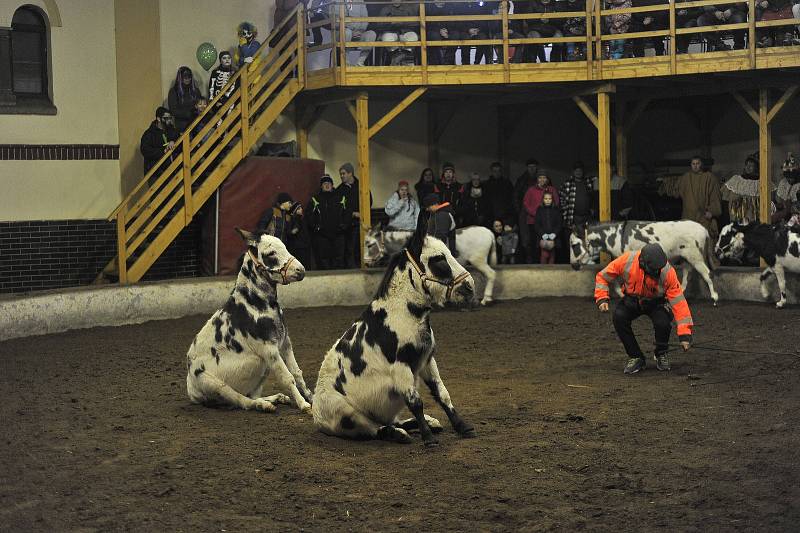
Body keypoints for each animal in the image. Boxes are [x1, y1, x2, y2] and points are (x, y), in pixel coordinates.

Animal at [310, 212, 476, 444]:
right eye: (439, 260)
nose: (470, 287)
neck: (401, 313)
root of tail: (316, 416)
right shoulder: (401, 367)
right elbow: (415, 402)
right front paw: (428, 440)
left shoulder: (427, 361)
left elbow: (442, 394)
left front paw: (463, 427)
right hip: (347, 415)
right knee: (374, 429)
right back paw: (400, 434)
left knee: (392, 421)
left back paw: (428, 423)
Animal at [360, 224, 494, 306]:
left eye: (369, 244)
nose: (365, 262)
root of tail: (489, 232)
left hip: (479, 261)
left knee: (491, 274)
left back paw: (486, 298)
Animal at [568, 219, 720, 304]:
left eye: (574, 245)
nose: (573, 265)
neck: (617, 235)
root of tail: (704, 229)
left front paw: (624, 294)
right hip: (687, 258)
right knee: (687, 277)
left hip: (695, 257)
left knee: (707, 274)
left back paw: (714, 298)